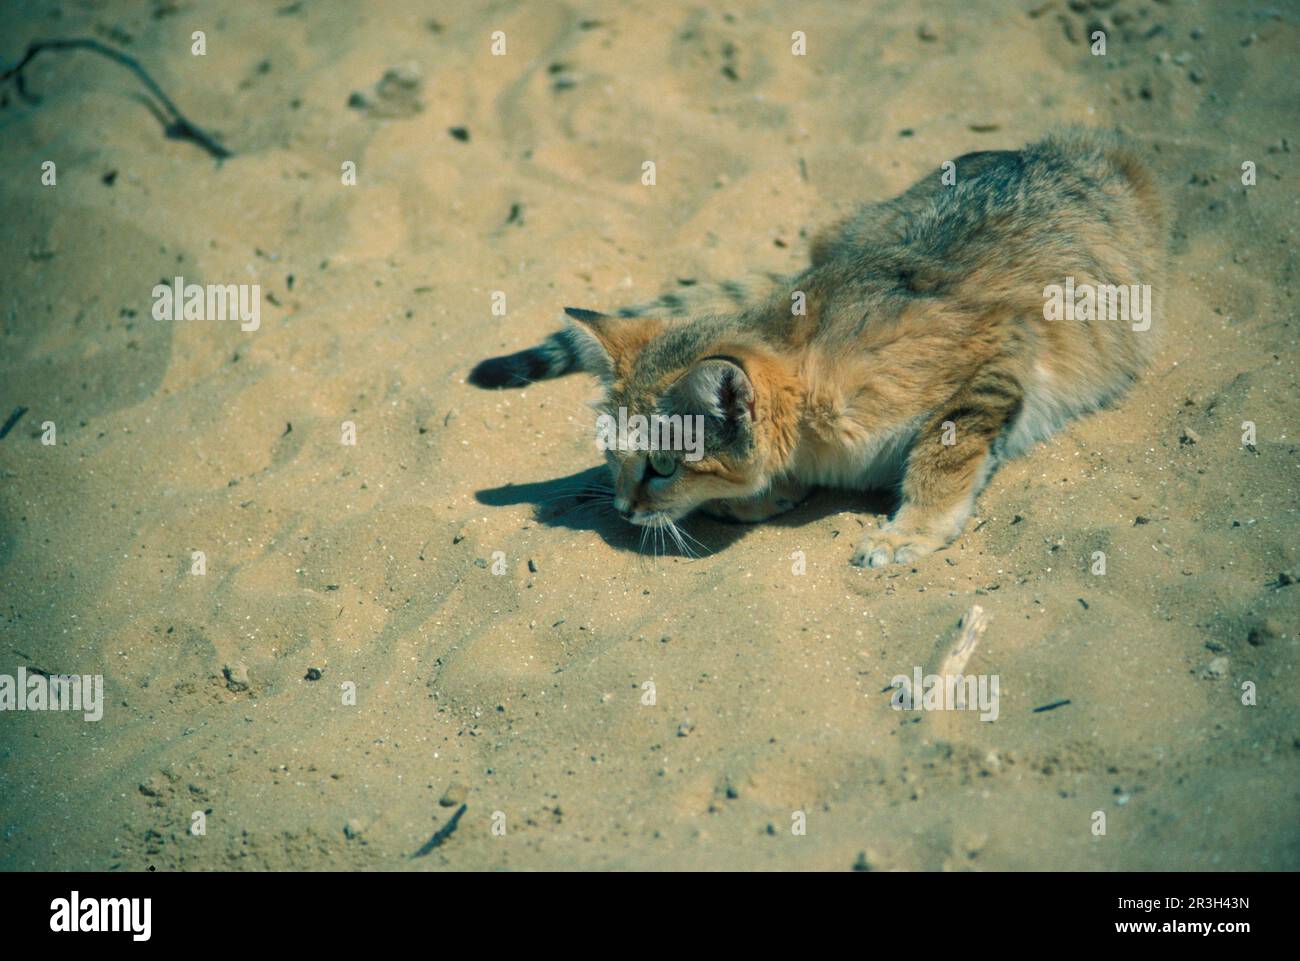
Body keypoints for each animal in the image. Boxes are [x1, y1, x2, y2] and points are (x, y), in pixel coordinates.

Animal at [473, 126, 1164, 564]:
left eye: (663, 467)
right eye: (612, 457)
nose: (621, 506)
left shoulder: (998, 353)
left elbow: (941, 456)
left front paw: (908, 532)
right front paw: (761, 497)